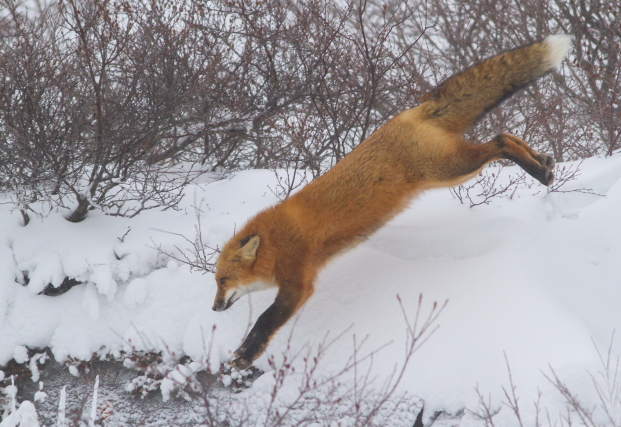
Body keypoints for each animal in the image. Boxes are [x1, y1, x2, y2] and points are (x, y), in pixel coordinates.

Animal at [214, 35, 572, 370]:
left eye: (222, 280)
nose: (214, 307)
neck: (274, 242)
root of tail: (413, 110)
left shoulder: (298, 282)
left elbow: (265, 321)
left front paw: (245, 355)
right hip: (451, 170)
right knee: (507, 136)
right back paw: (544, 163)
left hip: (451, 169)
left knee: (499, 141)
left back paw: (538, 171)